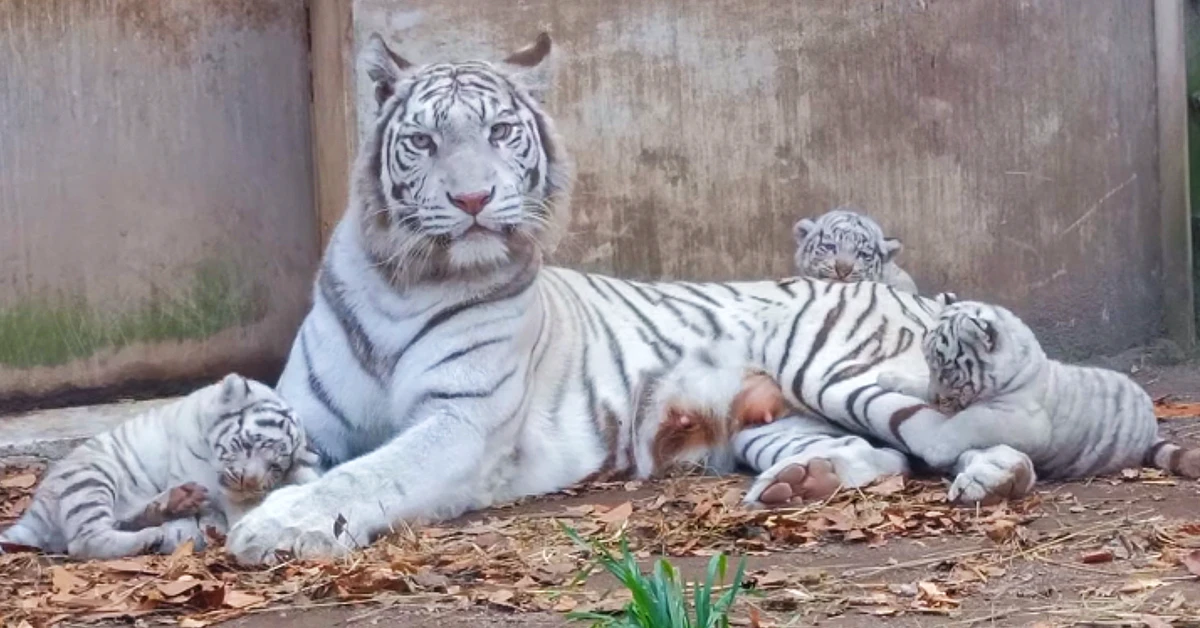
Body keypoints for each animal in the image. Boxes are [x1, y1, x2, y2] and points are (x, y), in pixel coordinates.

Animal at [225, 31, 1032, 564]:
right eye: (422, 142)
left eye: (501, 132)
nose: (473, 199)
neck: (405, 282)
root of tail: (905, 291)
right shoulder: (308, 416)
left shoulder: (461, 421)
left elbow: (374, 470)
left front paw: (275, 524)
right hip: (776, 422)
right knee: (885, 454)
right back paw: (805, 483)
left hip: (841, 367)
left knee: (965, 430)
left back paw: (996, 476)